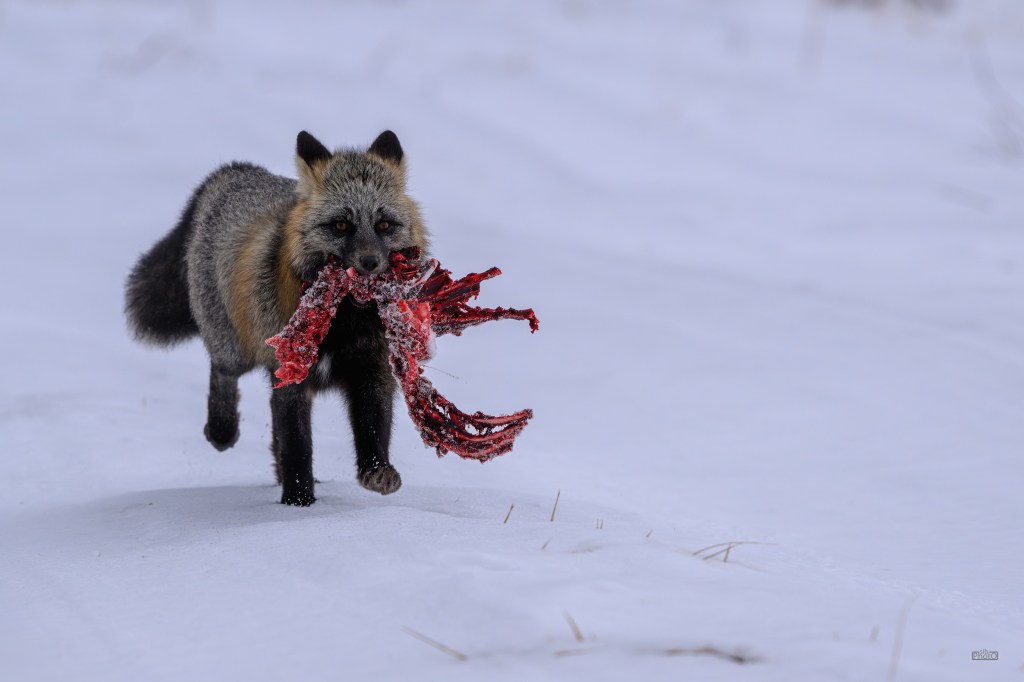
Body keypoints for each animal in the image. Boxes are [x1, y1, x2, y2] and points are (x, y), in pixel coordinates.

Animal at [125, 130, 428, 506]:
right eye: (341, 225)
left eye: (384, 224)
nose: (370, 263)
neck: (343, 325)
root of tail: (232, 171)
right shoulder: (290, 375)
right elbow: (298, 445)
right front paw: (298, 503)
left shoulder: (372, 368)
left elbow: (374, 427)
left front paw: (376, 472)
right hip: (233, 350)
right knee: (222, 372)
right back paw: (222, 430)